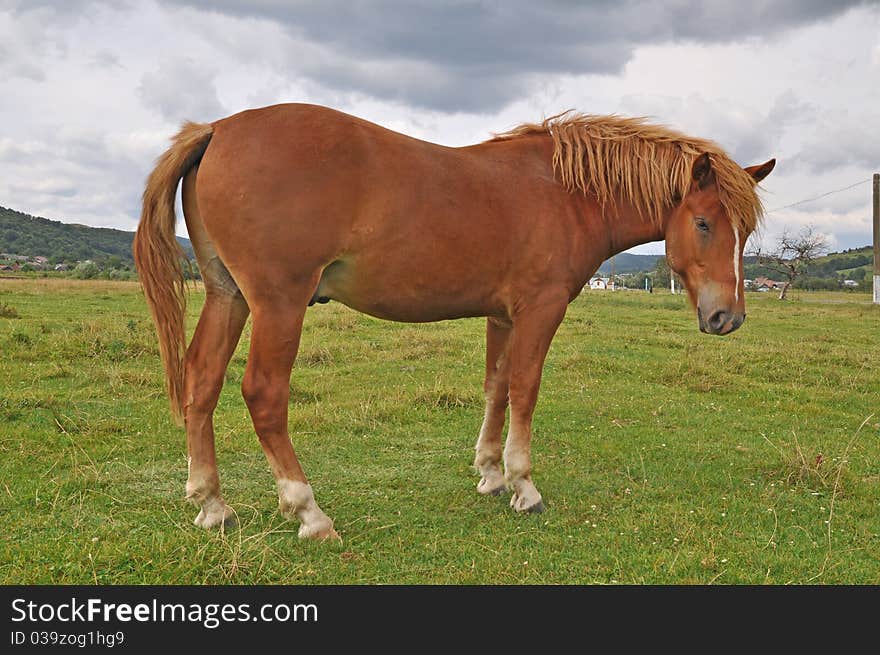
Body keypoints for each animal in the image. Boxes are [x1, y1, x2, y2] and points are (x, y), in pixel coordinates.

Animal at [134, 104, 772, 544]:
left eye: (743, 229)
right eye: (704, 222)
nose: (727, 317)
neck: (565, 193)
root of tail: (218, 129)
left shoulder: (502, 315)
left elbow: (496, 388)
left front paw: (490, 473)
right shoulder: (540, 309)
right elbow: (525, 390)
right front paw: (524, 486)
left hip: (229, 296)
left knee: (201, 381)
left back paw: (212, 505)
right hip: (278, 303)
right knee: (263, 394)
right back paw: (309, 513)